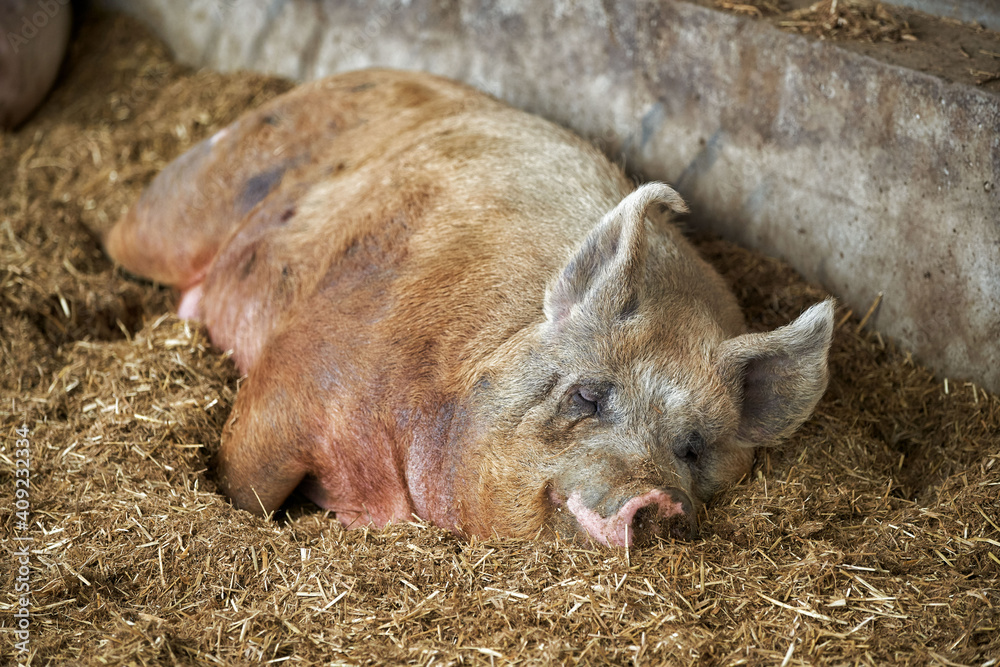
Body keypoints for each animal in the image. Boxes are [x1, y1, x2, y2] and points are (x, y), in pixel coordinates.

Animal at [105, 69, 832, 548]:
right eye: (586, 396)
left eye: (691, 447)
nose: (656, 498)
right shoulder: (301, 369)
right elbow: (247, 482)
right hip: (190, 198)